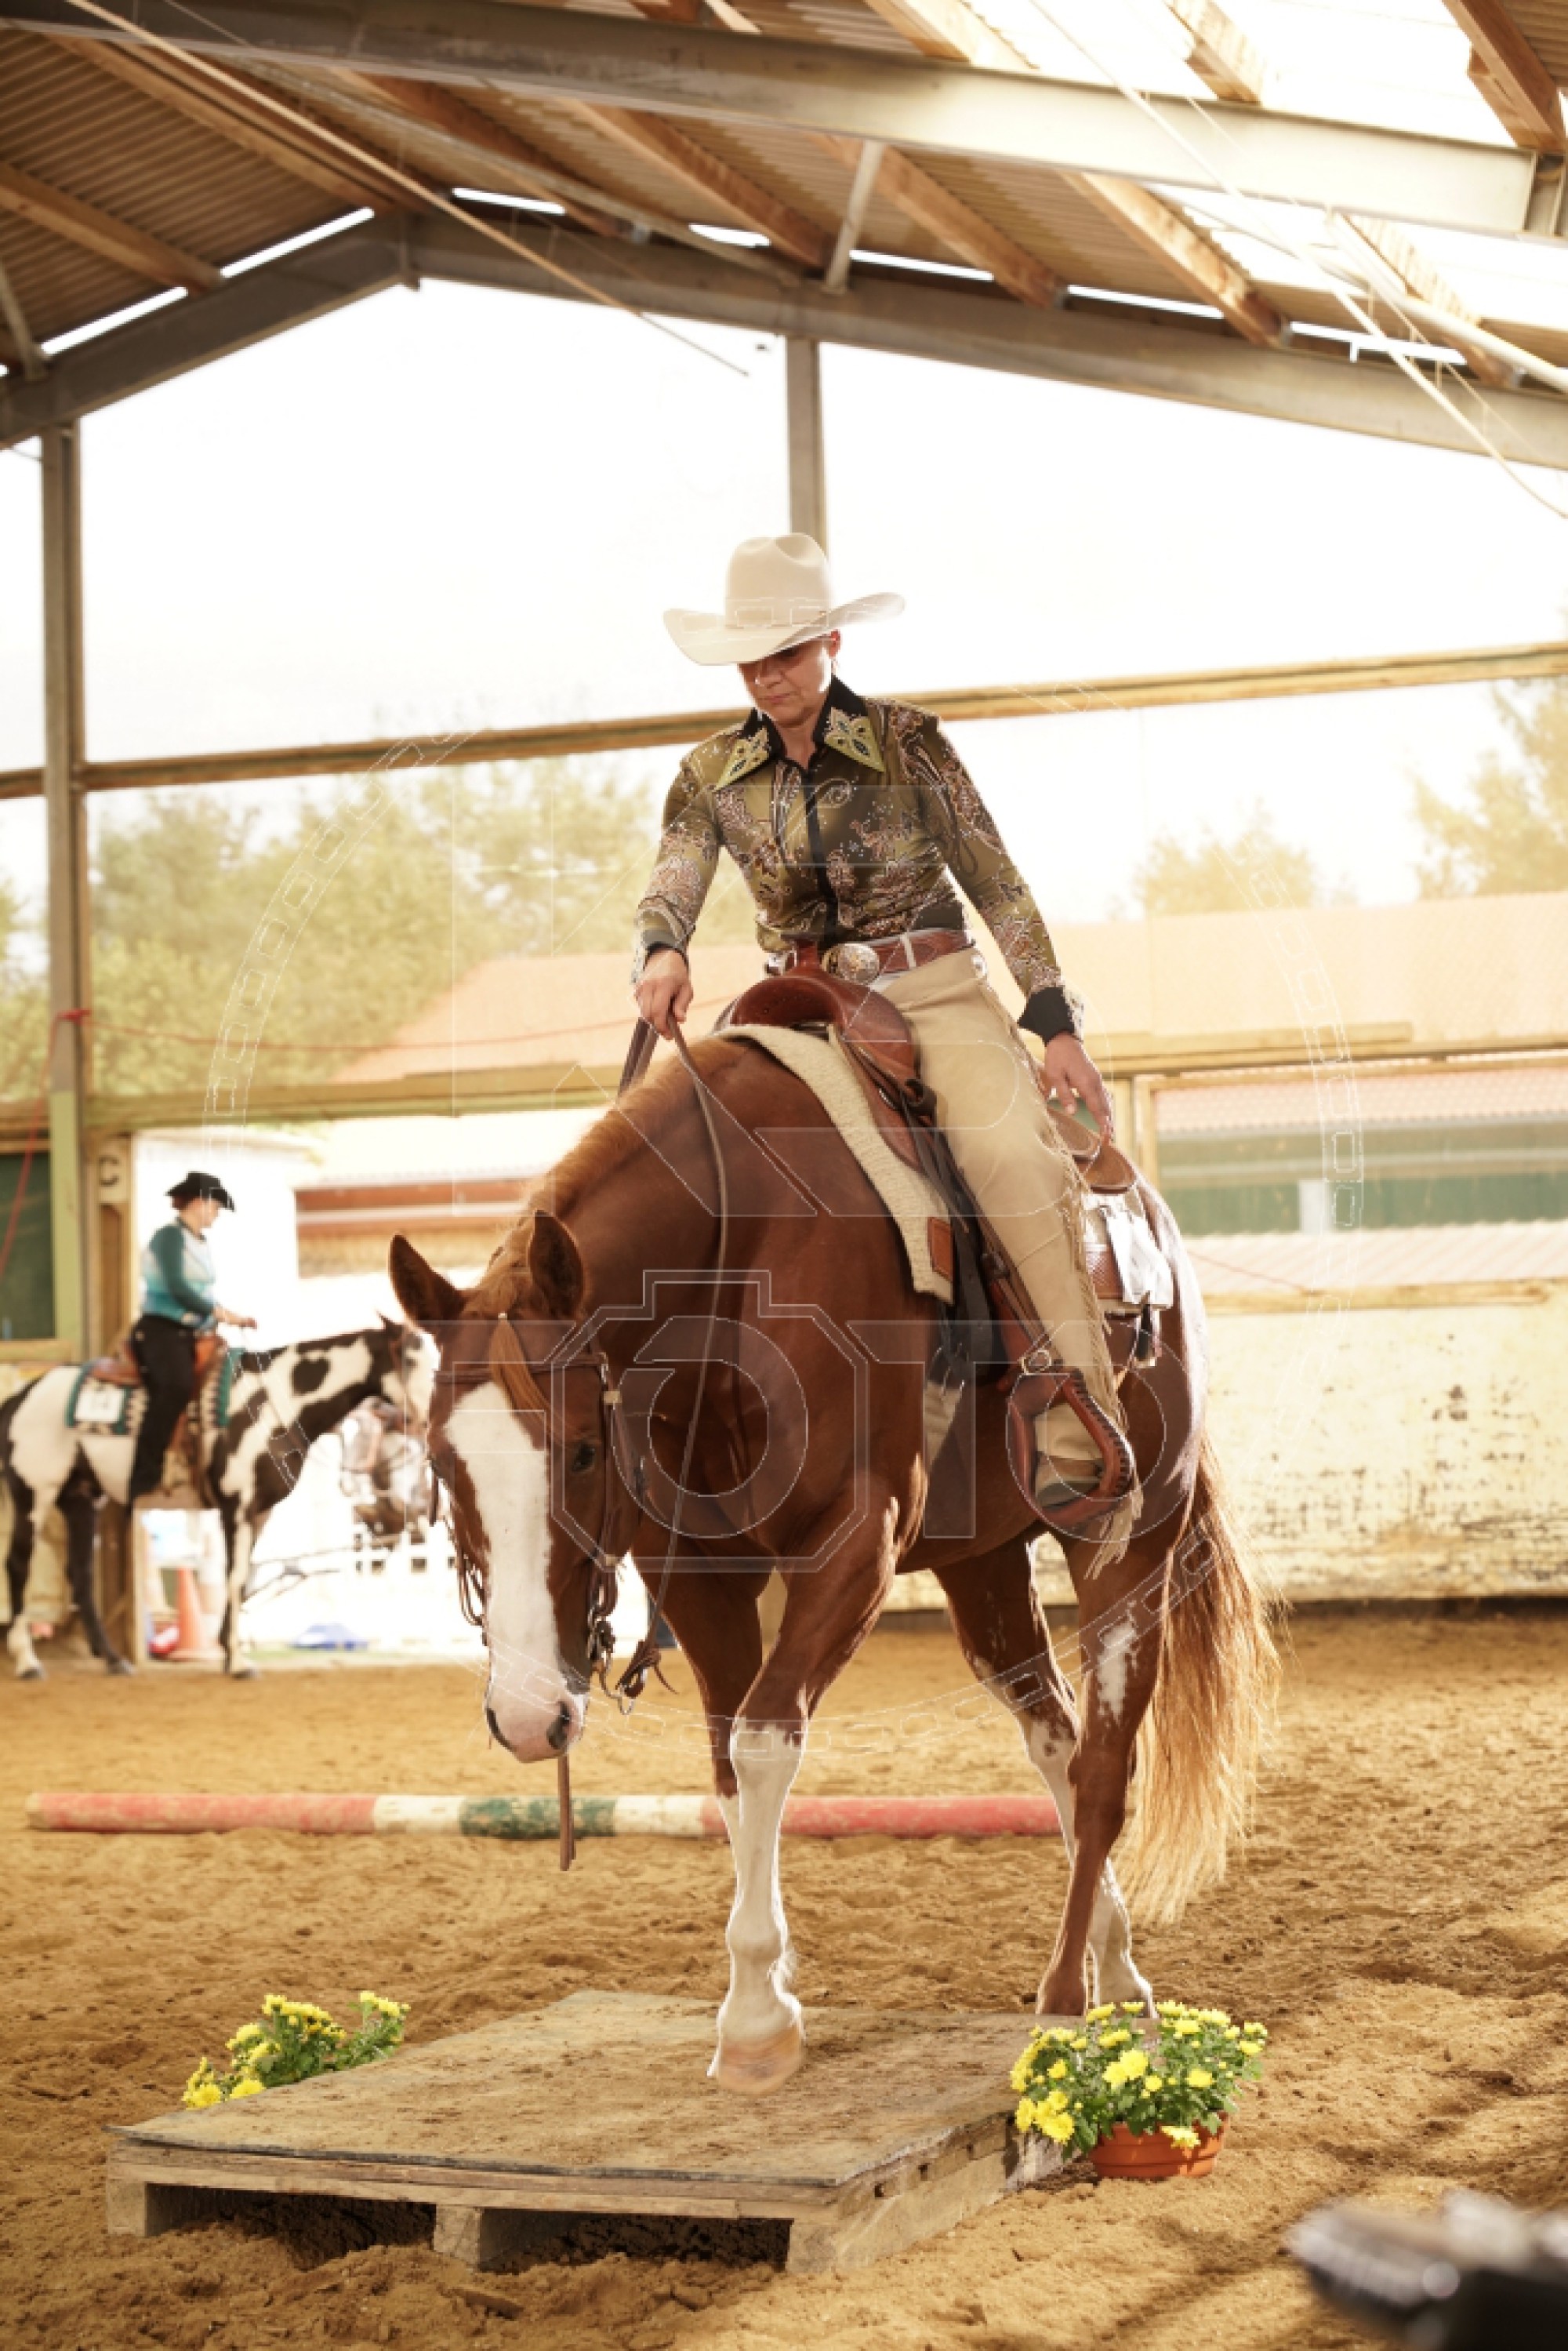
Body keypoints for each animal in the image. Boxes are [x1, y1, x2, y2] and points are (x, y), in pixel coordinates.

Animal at [2, 1321, 433, 1679]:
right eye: (409, 1359)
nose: (428, 1420)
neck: (276, 1400)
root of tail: (22, 1397)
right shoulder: (236, 1508)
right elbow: (235, 1576)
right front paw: (238, 1661)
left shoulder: (260, 1513)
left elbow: (244, 1579)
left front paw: (231, 1652)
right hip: (34, 1493)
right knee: (19, 1565)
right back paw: (27, 1661)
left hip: (80, 1499)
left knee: (80, 1574)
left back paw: (113, 1660)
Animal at [389, 1035, 1276, 2092]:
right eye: (441, 1463)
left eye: (583, 1452)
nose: (527, 1717)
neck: (735, 1260)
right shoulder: (700, 1573)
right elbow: (728, 1770)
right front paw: (761, 1998)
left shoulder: (857, 1540)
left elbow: (764, 1740)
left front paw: (754, 2022)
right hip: (983, 1568)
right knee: (1056, 1739)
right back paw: (1115, 1967)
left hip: (1131, 1538)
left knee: (1103, 1764)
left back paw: (1066, 2004)